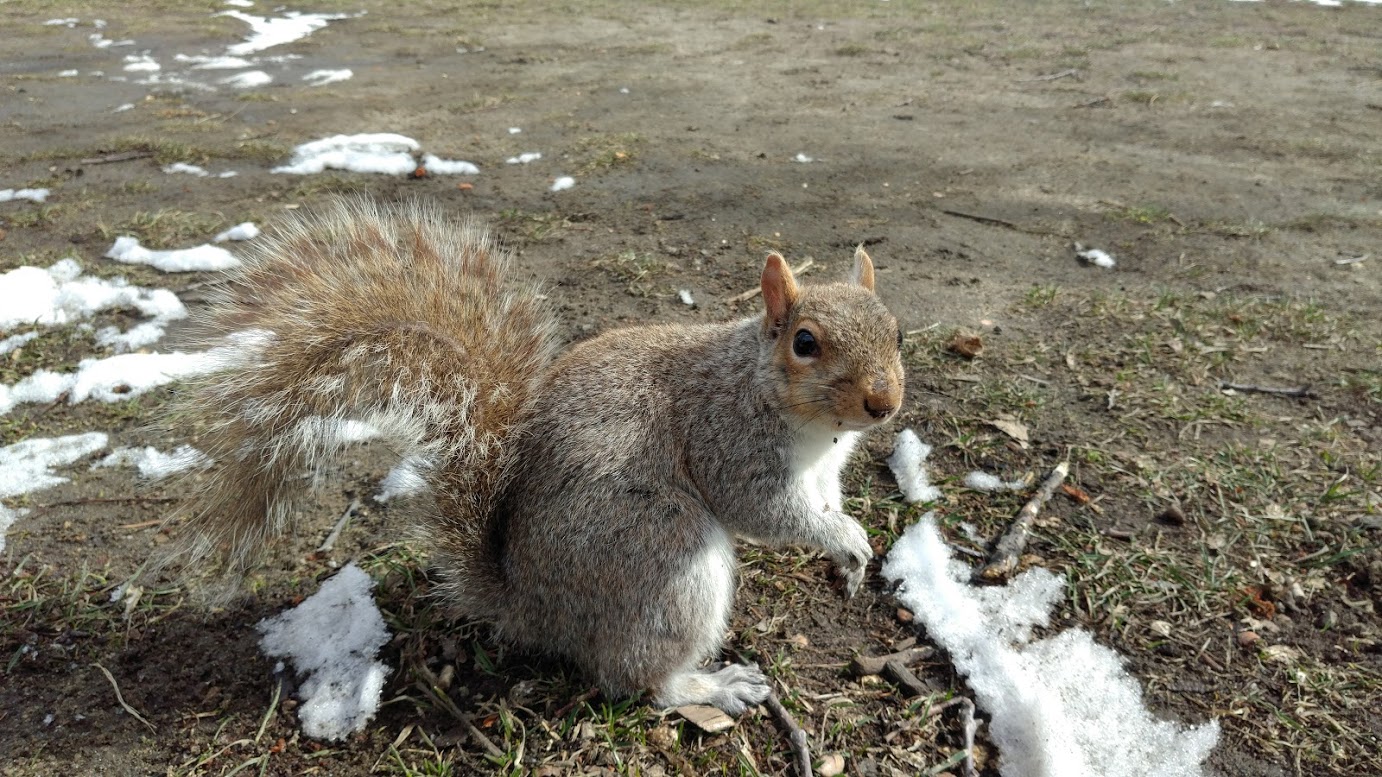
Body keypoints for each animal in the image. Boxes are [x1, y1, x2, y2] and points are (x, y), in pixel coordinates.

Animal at [172, 197, 905, 715]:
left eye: (896, 330)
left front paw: (852, 548)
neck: (812, 429)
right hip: (662, 554)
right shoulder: (727, 438)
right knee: (633, 679)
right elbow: (766, 510)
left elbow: (824, 503)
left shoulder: (823, 470)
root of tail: (532, 609)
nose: (884, 402)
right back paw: (710, 686)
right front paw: (841, 537)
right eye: (805, 343)